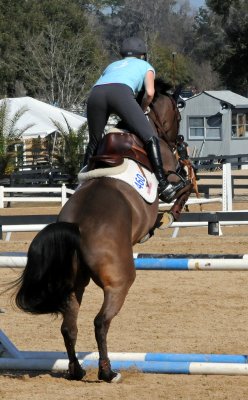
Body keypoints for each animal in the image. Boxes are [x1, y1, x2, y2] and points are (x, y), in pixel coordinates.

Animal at [12, 77, 193, 382]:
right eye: (178, 116)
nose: (179, 141)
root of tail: (76, 226)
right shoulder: (172, 175)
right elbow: (185, 186)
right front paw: (169, 216)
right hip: (119, 282)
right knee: (100, 322)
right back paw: (108, 372)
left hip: (74, 284)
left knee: (69, 325)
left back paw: (76, 370)